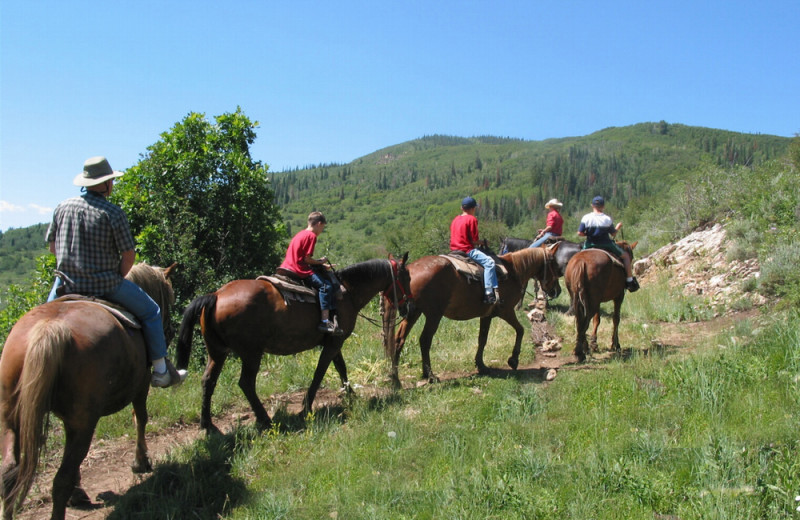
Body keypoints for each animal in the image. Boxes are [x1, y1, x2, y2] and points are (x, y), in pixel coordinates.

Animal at [0, 264, 176, 520]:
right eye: (169, 297)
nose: (169, 330)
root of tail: (49, 328)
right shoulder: (141, 384)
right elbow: (141, 418)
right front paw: (140, 462)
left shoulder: (70, 419)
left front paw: (78, 490)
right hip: (85, 423)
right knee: (60, 480)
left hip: (11, 418)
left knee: (9, 474)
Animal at [177, 254, 410, 432]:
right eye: (406, 277)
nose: (408, 306)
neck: (347, 292)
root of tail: (215, 296)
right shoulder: (333, 343)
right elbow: (320, 372)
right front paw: (305, 407)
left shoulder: (335, 341)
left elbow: (341, 367)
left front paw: (350, 394)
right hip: (251, 353)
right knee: (246, 383)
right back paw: (265, 420)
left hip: (217, 352)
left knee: (208, 381)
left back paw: (207, 425)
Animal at [380, 246, 556, 388]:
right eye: (554, 263)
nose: (556, 291)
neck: (513, 271)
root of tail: (410, 268)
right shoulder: (506, 311)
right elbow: (520, 330)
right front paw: (513, 359)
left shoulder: (487, 315)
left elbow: (482, 339)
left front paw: (481, 365)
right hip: (433, 315)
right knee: (424, 340)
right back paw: (429, 375)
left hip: (413, 312)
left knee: (398, 340)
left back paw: (397, 378)